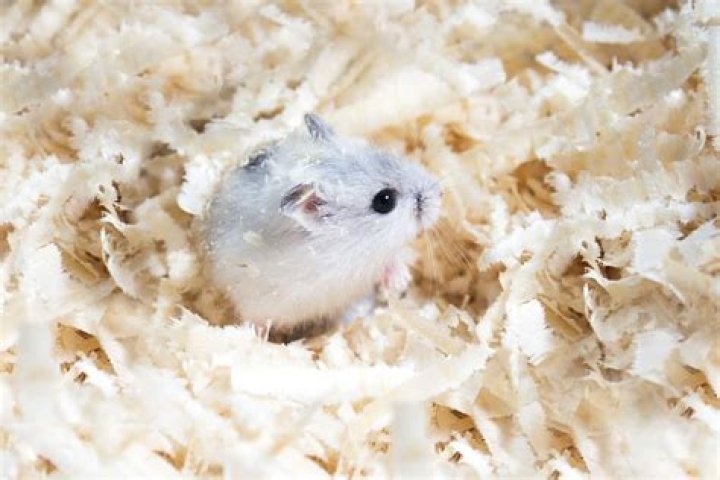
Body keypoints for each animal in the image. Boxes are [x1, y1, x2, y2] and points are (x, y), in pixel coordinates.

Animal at [203, 114, 442, 342]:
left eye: (382, 152)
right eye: (385, 201)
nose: (440, 193)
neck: (351, 243)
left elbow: (391, 260)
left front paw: (401, 280)